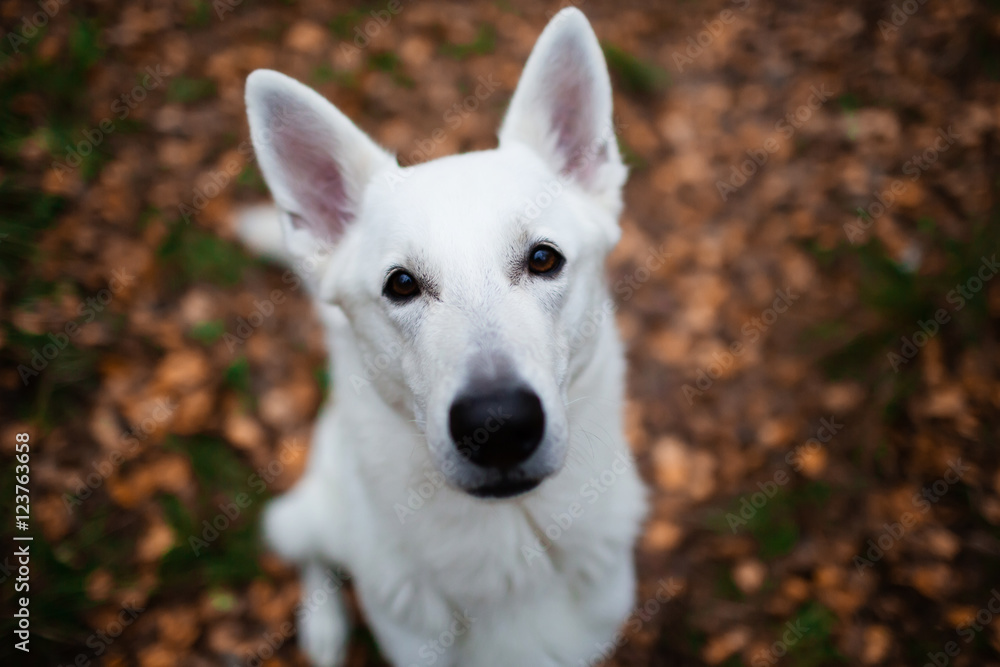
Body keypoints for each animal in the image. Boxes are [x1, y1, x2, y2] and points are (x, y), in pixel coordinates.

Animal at [240, 6, 648, 667]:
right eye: (402, 284)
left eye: (543, 259)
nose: (498, 426)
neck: (515, 543)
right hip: (307, 516)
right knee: (313, 557)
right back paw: (323, 625)